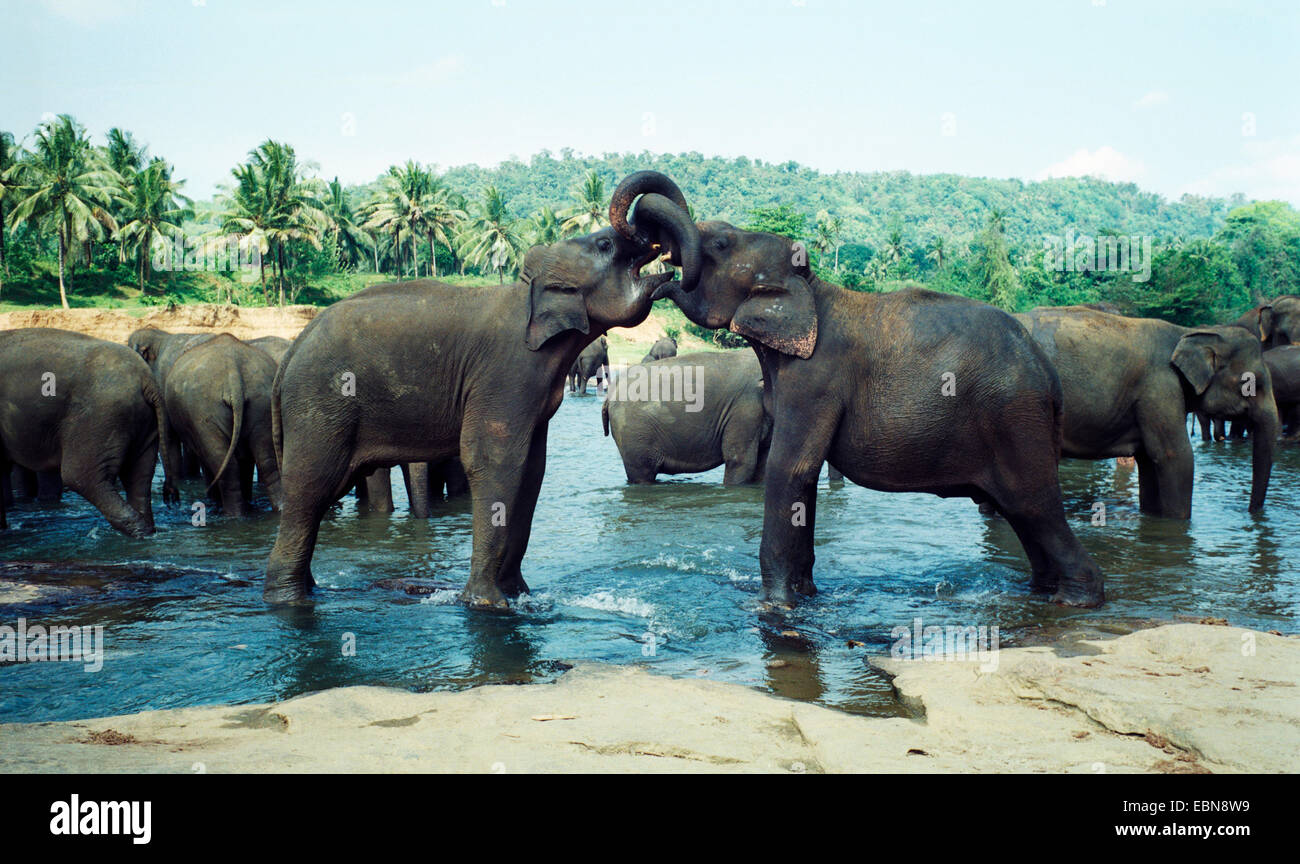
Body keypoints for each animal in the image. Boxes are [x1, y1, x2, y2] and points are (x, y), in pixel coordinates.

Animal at [165, 332, 282, 514]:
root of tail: (233, 371)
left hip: (204, 412)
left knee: (224, 464)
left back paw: (234, 514)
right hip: (262, 402)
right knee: (267, 461)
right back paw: (277, 508)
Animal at [262, 170, 702, 605]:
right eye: (605, 244)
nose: (666, 255)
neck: (527, 289)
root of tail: (291, 352)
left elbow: (533, 469)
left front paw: (521, 595)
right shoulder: (504, 374)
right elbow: (494, 460)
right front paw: (487, 603)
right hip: (319, 407)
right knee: (310, 491)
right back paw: (289, 599)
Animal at [600, 350, 769, 485]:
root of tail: (610, 394)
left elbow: (763, 464)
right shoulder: (745, 407)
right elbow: (740, 461)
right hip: (634, 432)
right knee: (642, 474)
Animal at [1013, 306, 1279, 514]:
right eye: (1252, 383)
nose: (1249, 512)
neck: (1186, 332)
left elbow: (1149, 461)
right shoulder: (1160, 388)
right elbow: (1175, 457)